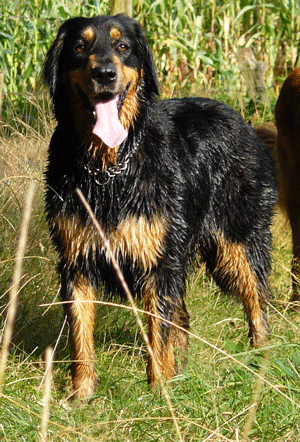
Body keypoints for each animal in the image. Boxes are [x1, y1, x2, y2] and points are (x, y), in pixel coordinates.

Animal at [44, 15, 276, 398]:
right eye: (79, 46)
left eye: (123, 46)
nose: (105, 73)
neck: (109, 168)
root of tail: (240, 118)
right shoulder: (77, 258)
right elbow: (81, 336)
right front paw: (81, 395)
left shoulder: (158, 260)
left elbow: (158, 334)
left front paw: (158, 394)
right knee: (183, 316)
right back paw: (181, 373)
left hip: (236, 239)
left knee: (256, 303)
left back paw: (261, 363)